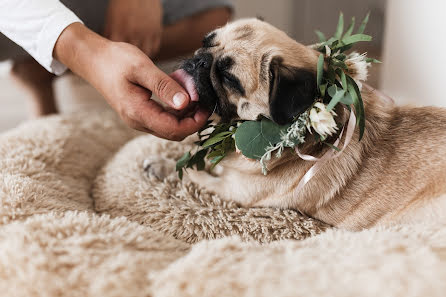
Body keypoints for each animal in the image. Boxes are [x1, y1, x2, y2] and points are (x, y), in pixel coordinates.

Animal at [145, 17, 446, 229]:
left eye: (229, 78)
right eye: (206, 41)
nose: (200, 60)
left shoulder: (232, 191)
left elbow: (194, 177)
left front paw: (172, 170)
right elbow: (197, 162)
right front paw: (163, 164)